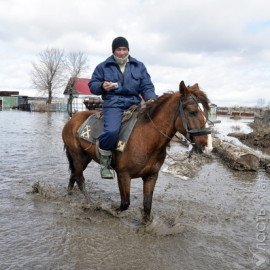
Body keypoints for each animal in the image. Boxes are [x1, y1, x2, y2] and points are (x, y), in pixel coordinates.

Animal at [62, 80, 212, 221]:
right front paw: (108, 209)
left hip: (85, 157)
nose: (208, 147)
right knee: (80, 179)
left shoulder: (151, 176)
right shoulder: (123, 175)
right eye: (192, 111)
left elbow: (147, 206)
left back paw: (69, 194)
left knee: (74, 175)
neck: (146, 139)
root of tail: (73, 118)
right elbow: (125, 203)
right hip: (76, 155)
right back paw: (91, 203)